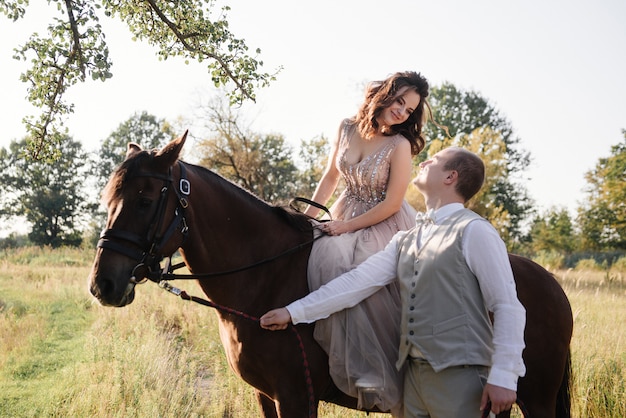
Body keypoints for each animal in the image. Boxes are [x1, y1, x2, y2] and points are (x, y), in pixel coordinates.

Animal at [86, 132, 572, 416]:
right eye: (110, 197)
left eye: (145, 200)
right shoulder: (266, 396)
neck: (265, 279)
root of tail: (551, 284)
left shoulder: (295, 397)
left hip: (536, 398)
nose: (102, 285)